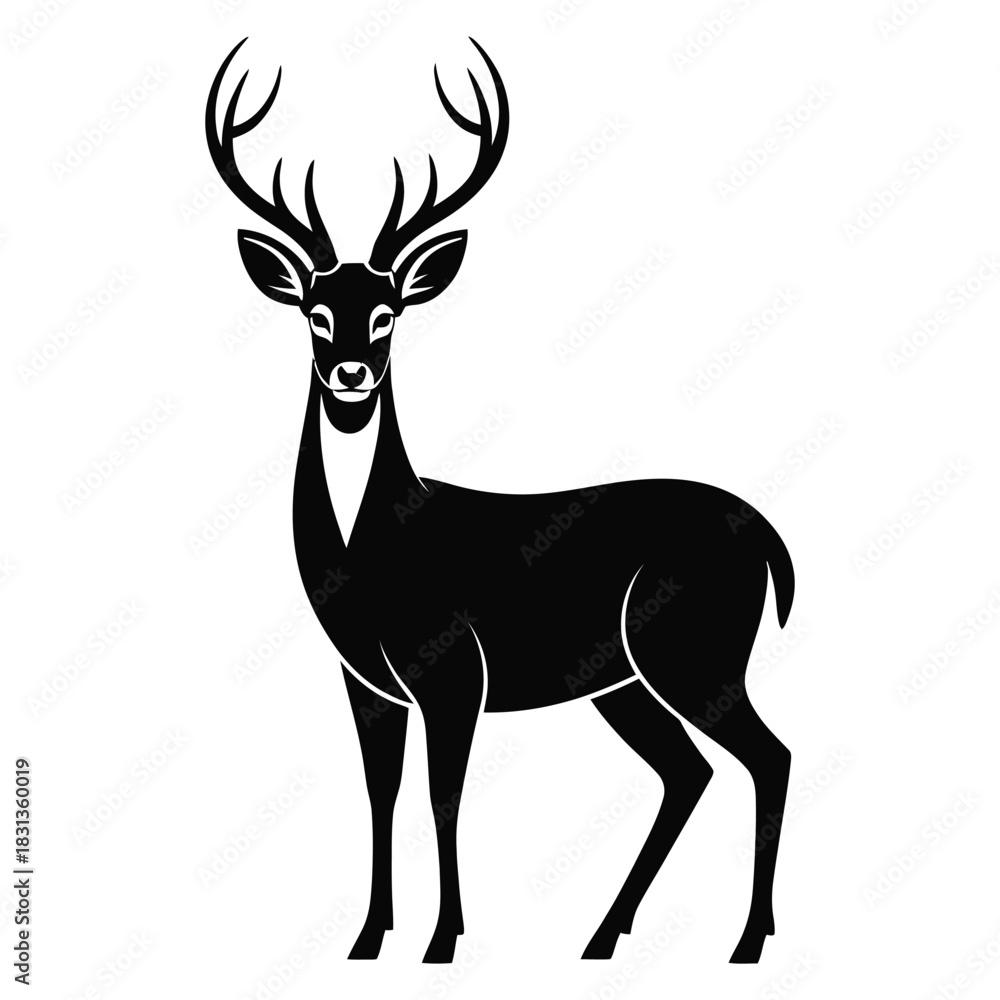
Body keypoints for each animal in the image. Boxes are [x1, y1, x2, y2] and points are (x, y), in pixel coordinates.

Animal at [206, 36, 795, 967]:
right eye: (314, 310)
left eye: (388, 312)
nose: (351, 376)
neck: (370, 563)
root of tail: (768, 537)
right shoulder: (365, 681)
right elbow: (380, 796)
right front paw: (367, 939)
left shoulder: (454, 669)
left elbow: (443, 798)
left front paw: (444, 941)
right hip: (623, 678)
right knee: (689, 771)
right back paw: (603, 937)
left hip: (693, 649)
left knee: (767, 757)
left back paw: (744, 943)